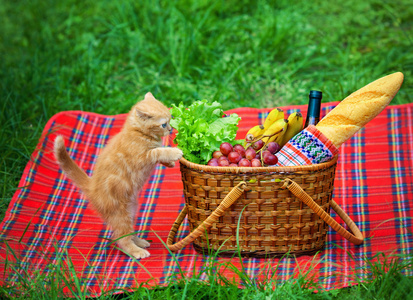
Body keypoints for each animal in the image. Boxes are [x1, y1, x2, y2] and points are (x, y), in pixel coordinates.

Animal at [54, 92, 183, 258]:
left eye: (170, 118)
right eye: (163, 124)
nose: (171, 129)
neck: (137, 133)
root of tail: (92, 188)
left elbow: (159, 154)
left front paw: (170, 163)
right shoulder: (141, 157)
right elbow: (158, 151)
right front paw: (174, 152)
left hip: (131, 209)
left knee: (128, 232)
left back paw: (140, 241)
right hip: (120, 214)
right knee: (122, 239)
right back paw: (137, 251)